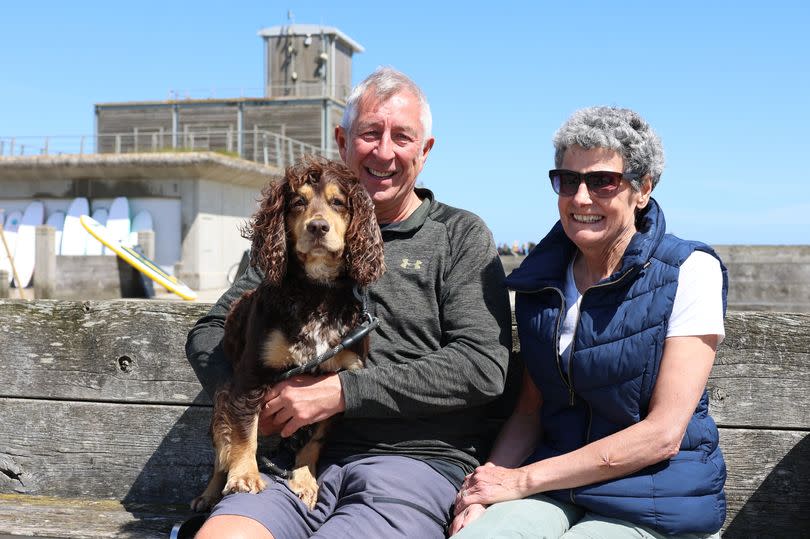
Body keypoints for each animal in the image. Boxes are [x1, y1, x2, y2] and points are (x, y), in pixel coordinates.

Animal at [191, 157, 384, 516]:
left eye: (339, 203)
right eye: (297, 203)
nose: (318, 227)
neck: (316, 291)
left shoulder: (336, 385)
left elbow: (314, 441)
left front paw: (305, 480)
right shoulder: (250, 375)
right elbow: (244, 433)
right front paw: (245, 476)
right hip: (221, 402)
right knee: (220, 452)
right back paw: (209, 494)